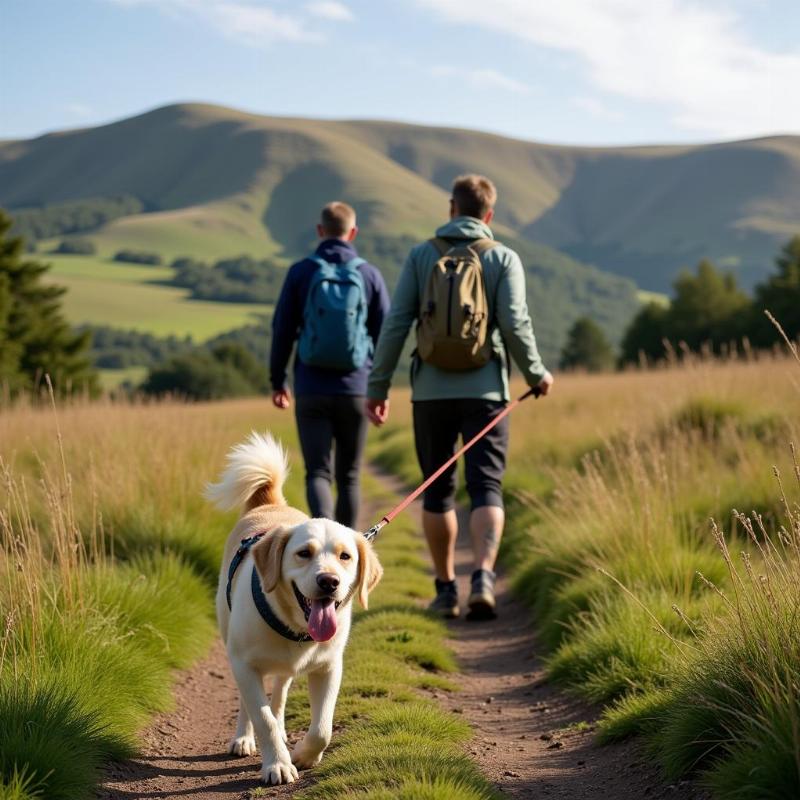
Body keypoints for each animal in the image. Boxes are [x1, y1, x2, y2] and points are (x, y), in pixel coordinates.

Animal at [205, 434, 382, 784]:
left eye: (345, 556)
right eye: (303, 553)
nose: (329, 581)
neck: (295, 627)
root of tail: (269, 504)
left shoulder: (329, 667)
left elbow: (322, 728)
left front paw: (303, 755)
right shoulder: (243, 664)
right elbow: (262, 719)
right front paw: (278, 764)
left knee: (281, 691)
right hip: (232, 643)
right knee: (249, 703)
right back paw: (243, 738)